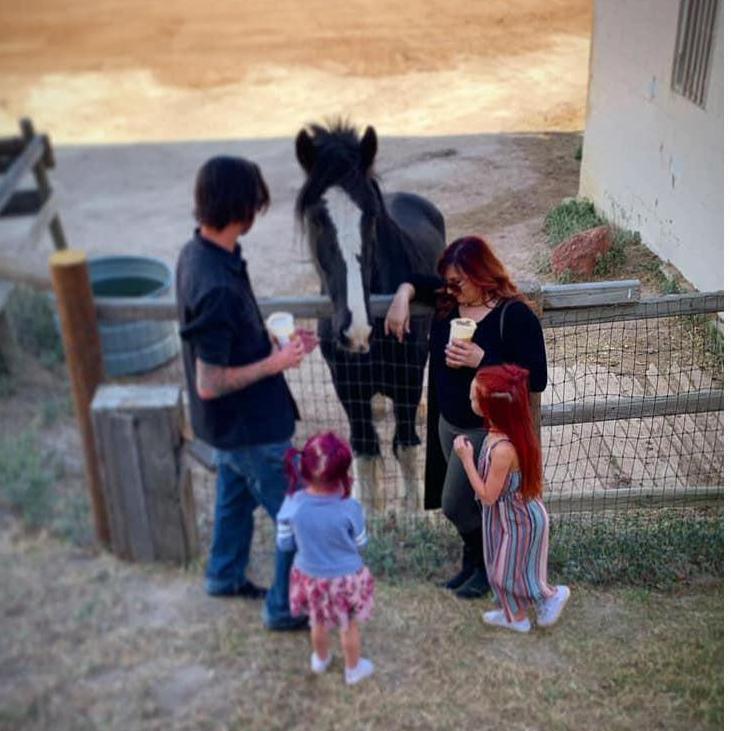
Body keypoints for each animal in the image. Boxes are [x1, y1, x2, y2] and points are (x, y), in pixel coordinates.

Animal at [294, 121, 444, 508]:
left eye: (372, 215)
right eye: (316, 218)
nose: (356, 330)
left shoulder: (407, 379)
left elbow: (405, 448)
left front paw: (415, 513)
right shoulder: (349, 387)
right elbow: (365, 453)